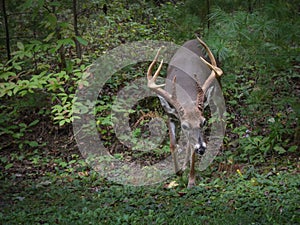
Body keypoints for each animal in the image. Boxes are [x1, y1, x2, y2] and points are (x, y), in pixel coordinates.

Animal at [148, 37, 223, 187]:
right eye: (184, 125)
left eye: (204, 122)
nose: (202, 148)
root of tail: (194, 39)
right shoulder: (171, 115)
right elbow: (172, 144)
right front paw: (178, 171)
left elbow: (191, 147)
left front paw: (191, 180)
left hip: (216, 85)